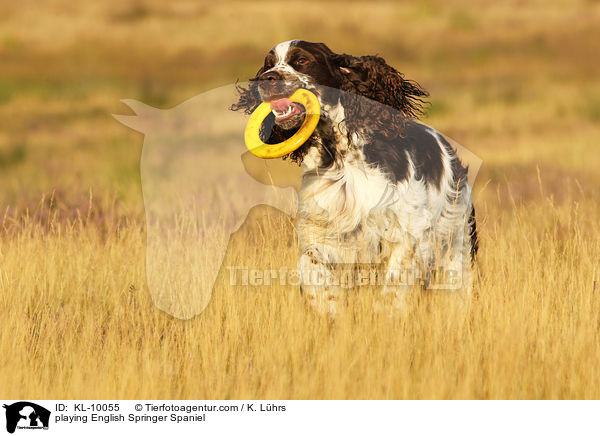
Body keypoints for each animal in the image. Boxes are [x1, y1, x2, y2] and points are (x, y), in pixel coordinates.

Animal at [231, 41, 478, 314]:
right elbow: (315, 276)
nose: (267, 79)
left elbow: (393, 290)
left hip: (456, 240)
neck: (341, 156)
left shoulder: (406, 231)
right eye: (268, 64)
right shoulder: (323, 234)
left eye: (302, 60)